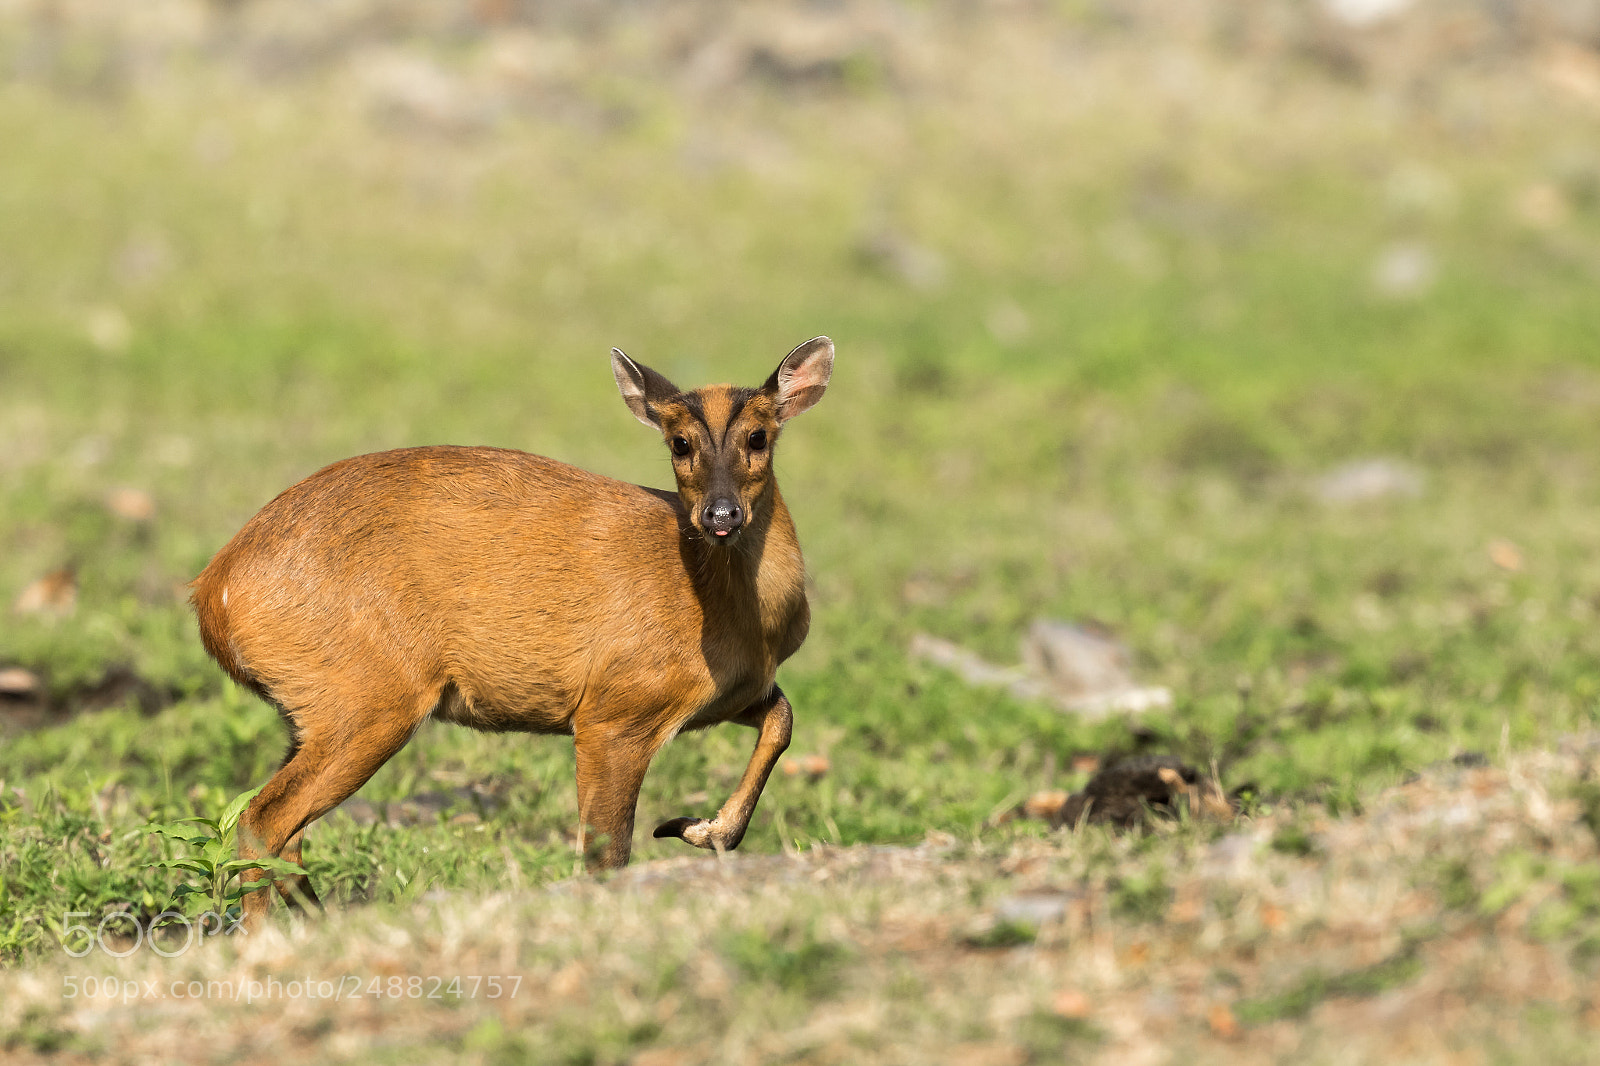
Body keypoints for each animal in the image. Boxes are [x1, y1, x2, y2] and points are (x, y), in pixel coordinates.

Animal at [188, 337, 834, 925]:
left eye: (759, 436)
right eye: (680, 443)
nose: (720, 515)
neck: (730, 612)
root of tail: (212, 593)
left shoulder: (725, 696)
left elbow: (783, 718)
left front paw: (704, 829)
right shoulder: (615, 709)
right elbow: (605, 854)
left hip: (312, 708)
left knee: (284, 833)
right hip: (367, 698)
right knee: (262, 821)